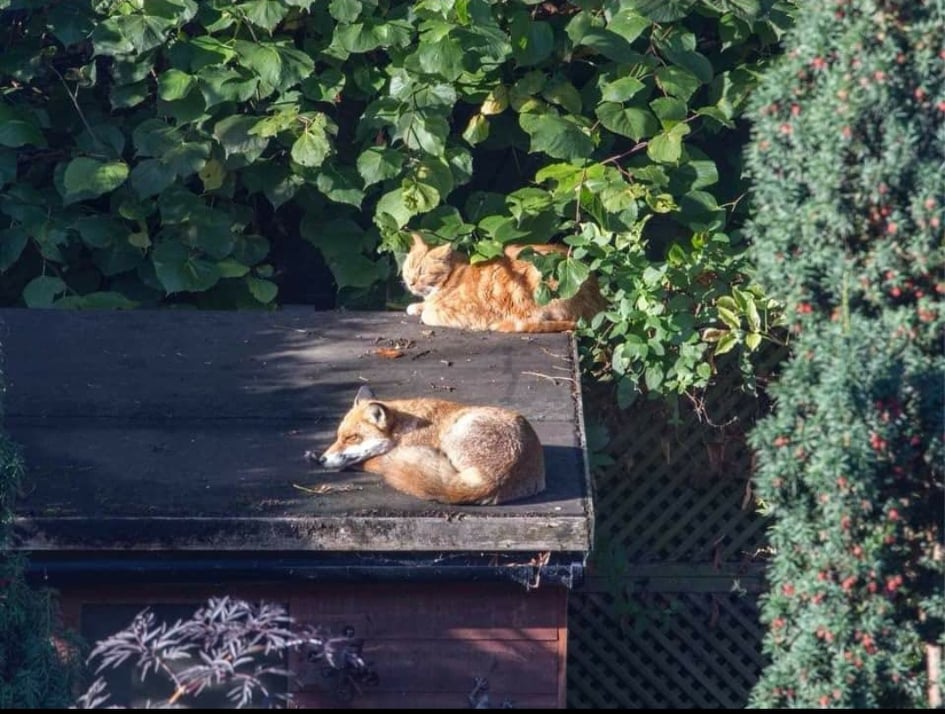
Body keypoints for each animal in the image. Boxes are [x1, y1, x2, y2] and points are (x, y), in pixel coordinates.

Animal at [307, 386, 546, 505]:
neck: (407, 428)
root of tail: (491, 479)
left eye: (352, 438)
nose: (322, 460)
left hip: (455, 433)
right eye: (338, 436)